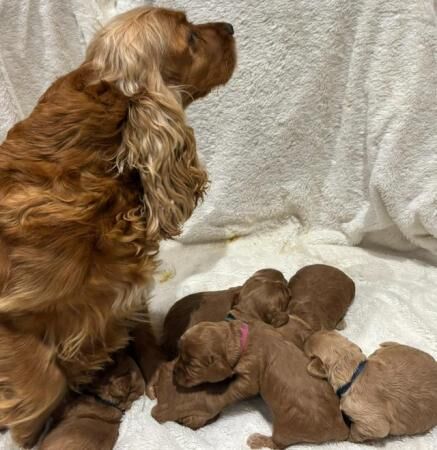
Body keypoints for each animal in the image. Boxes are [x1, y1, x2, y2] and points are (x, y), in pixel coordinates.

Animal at [174, 322, 348, 448]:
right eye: (179, 354)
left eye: (191, 366)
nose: (173, 373)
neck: (242, 339)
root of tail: (341, 427)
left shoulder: (249, 377)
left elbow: (225, 395)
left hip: (287, 428)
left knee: (278, 445)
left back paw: (258, 440)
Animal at [304, 330, 436, 442]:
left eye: (309, 353)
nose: (305, 338)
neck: (355, 372)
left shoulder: (374, 424)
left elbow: (357, 432)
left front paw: (350, 437)